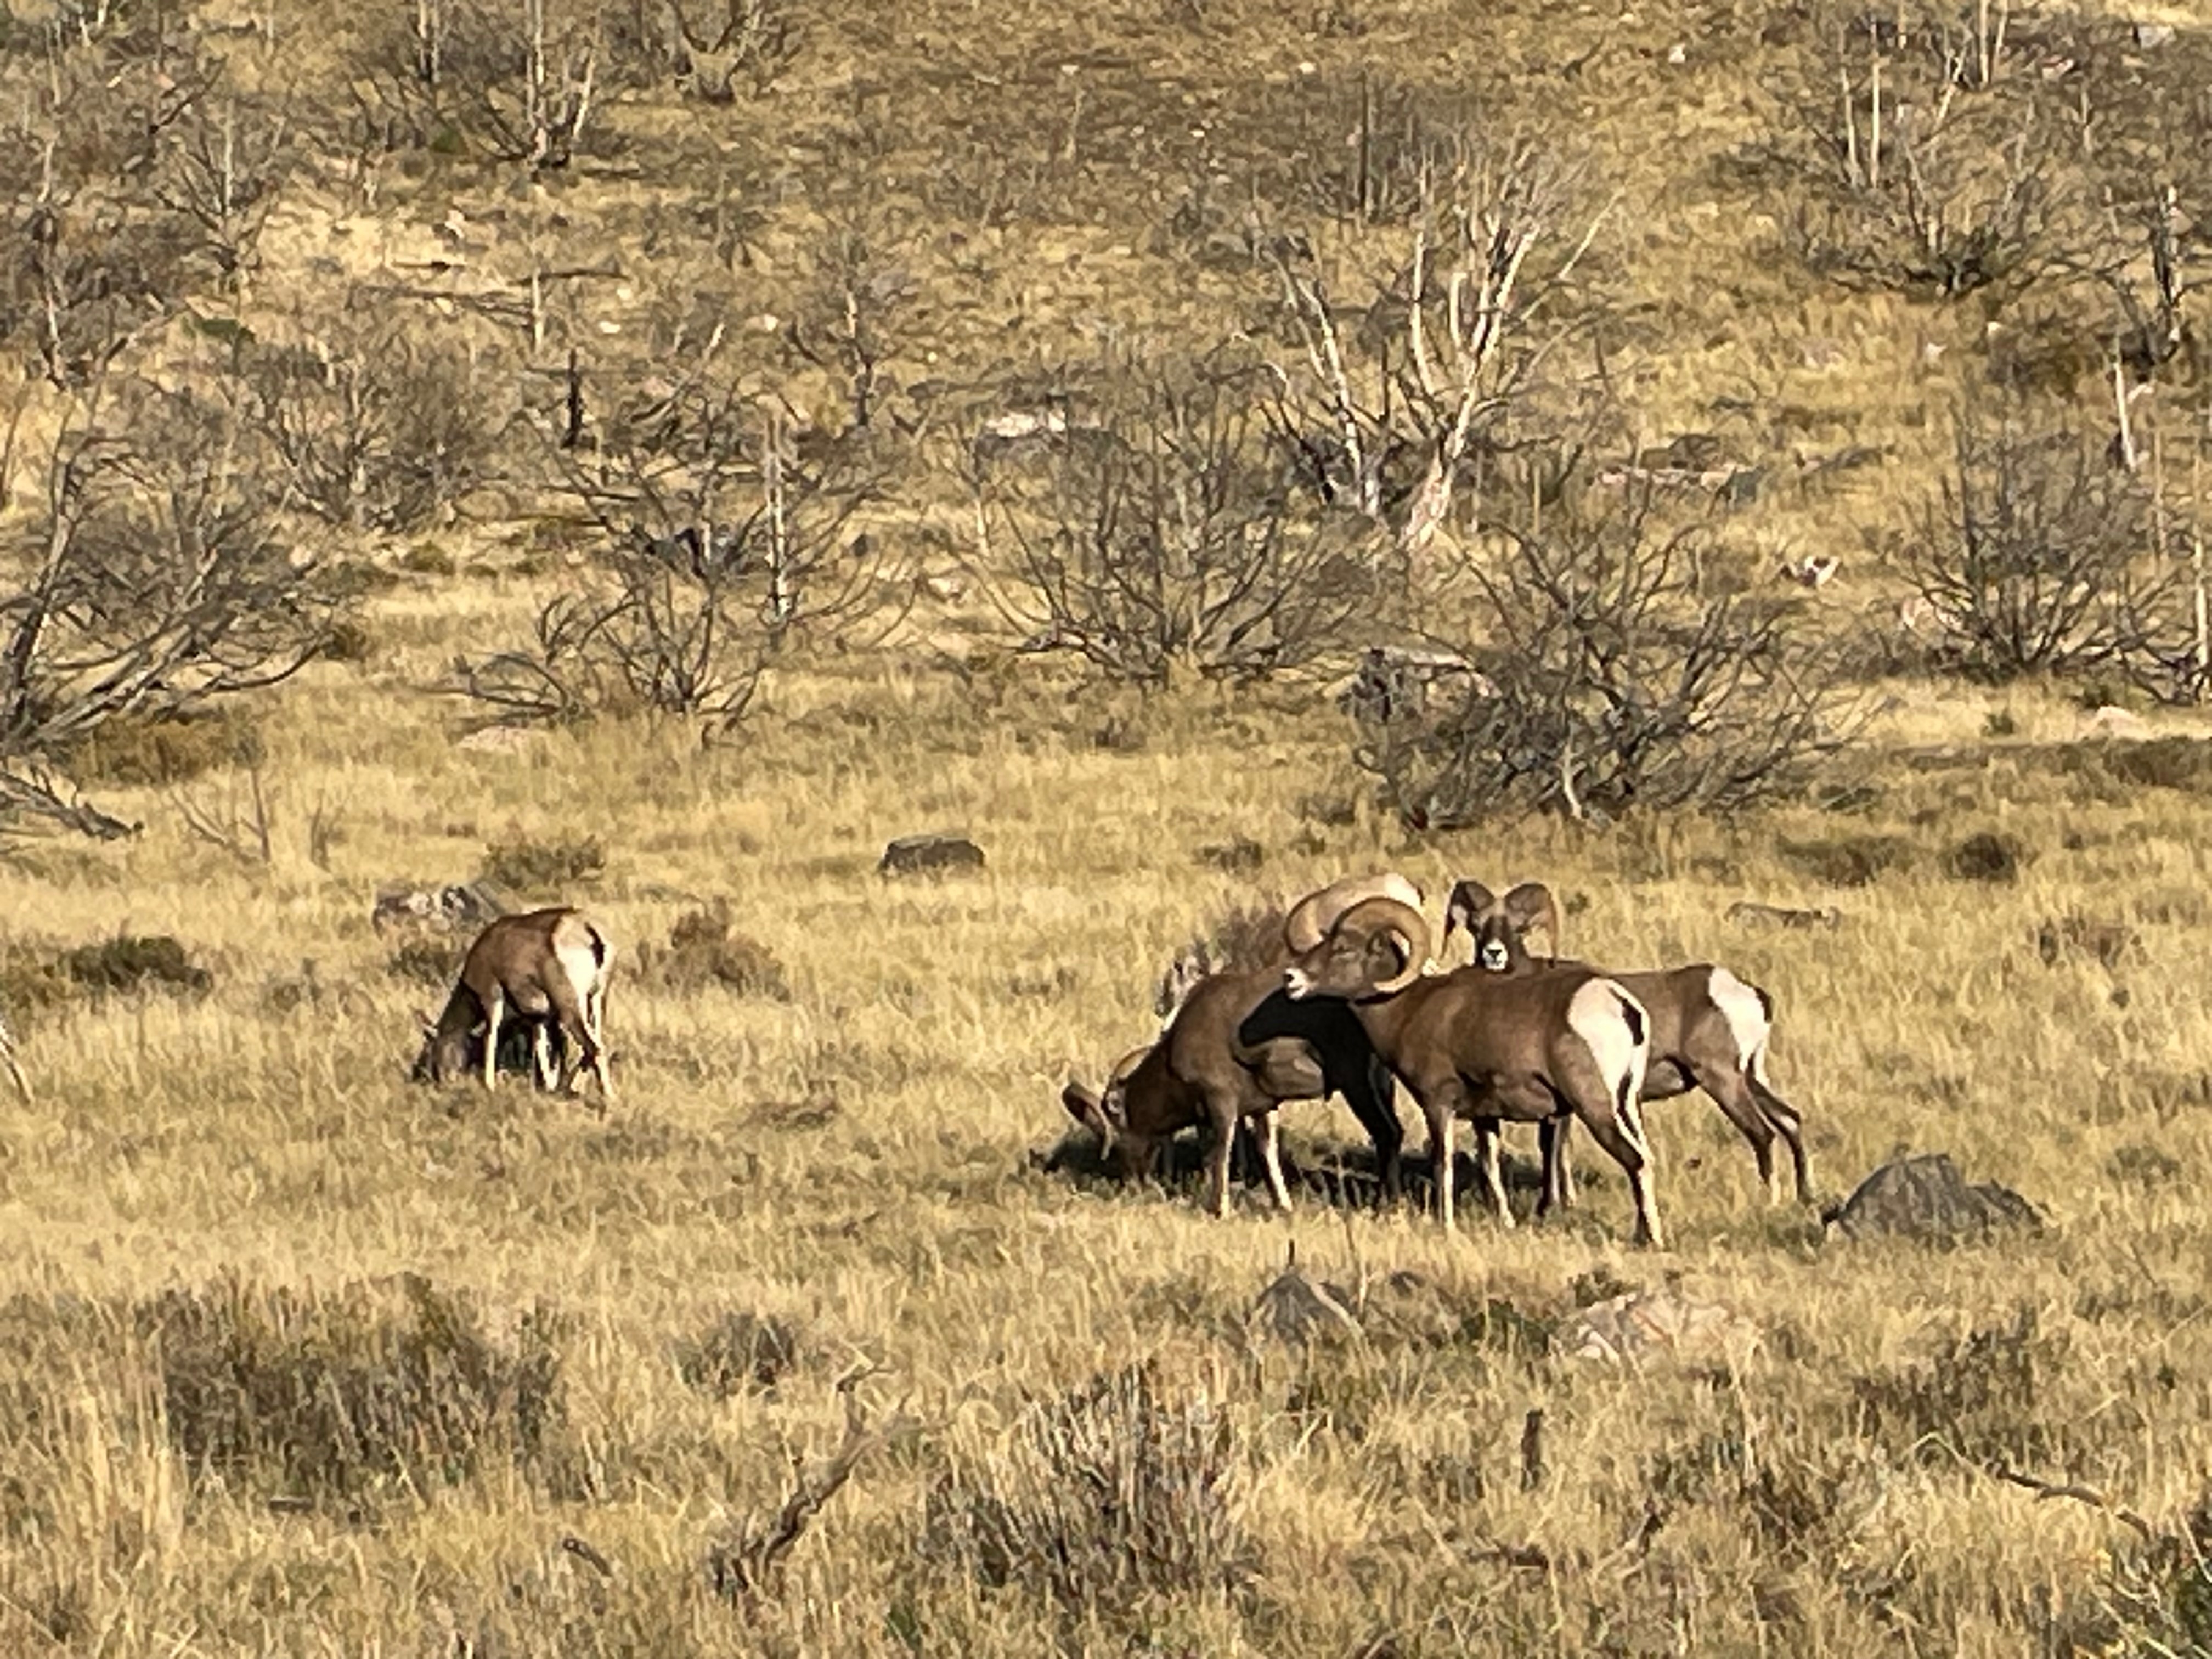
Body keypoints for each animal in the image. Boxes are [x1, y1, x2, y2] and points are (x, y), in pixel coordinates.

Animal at [411, 908, 613, 1105]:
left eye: (429, 1048)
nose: (420, 1076)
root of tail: (588, 928)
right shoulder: (539, 1018)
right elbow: (542, 1048)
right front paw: (548, 1087)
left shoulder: (492, 1000)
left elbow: (490, 1038)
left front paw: (489, 1086)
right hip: (595, 1000)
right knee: (594, 1045)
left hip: (572, 1008)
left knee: (594, 1048)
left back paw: (605, 1097)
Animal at [1061, 964, 1401, 1217]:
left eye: (1117, 1140)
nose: (1132, 1185)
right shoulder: (1264, 1108)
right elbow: (1266, 1151)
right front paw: (1282, 1206)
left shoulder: (1222, 1103)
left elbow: (1220, 1154)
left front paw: (1219, 1209)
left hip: (1358, 1086)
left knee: (1387, 1134)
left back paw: (1384, 1206)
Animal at [1283, 896, 1665, 1245]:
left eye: (1343, 948)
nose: (1291, 979)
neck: (1408, 1008)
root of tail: (1619, 1003)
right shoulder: (1486, 1116)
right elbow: (1490, 1166)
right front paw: (1506, 1222)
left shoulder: (1438, 1104)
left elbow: (1443, 1163)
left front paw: (1446, 1226)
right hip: (1627, 1105)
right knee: (1646, 1156)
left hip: (1596, 1107)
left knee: (1636, 1161)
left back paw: (1649, 1239)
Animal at [1442, 878, 1811, 1210]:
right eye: (1476, 926)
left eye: (1519, 928)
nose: (1494, 954)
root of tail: (1750, 993)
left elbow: (1552, 1148)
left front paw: (1552, 1206)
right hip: (1750, 1077)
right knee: (1790, 1120)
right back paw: (1804, 1197)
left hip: (1722, 1079)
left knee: (1763, 1134)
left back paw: (1768, 1203)